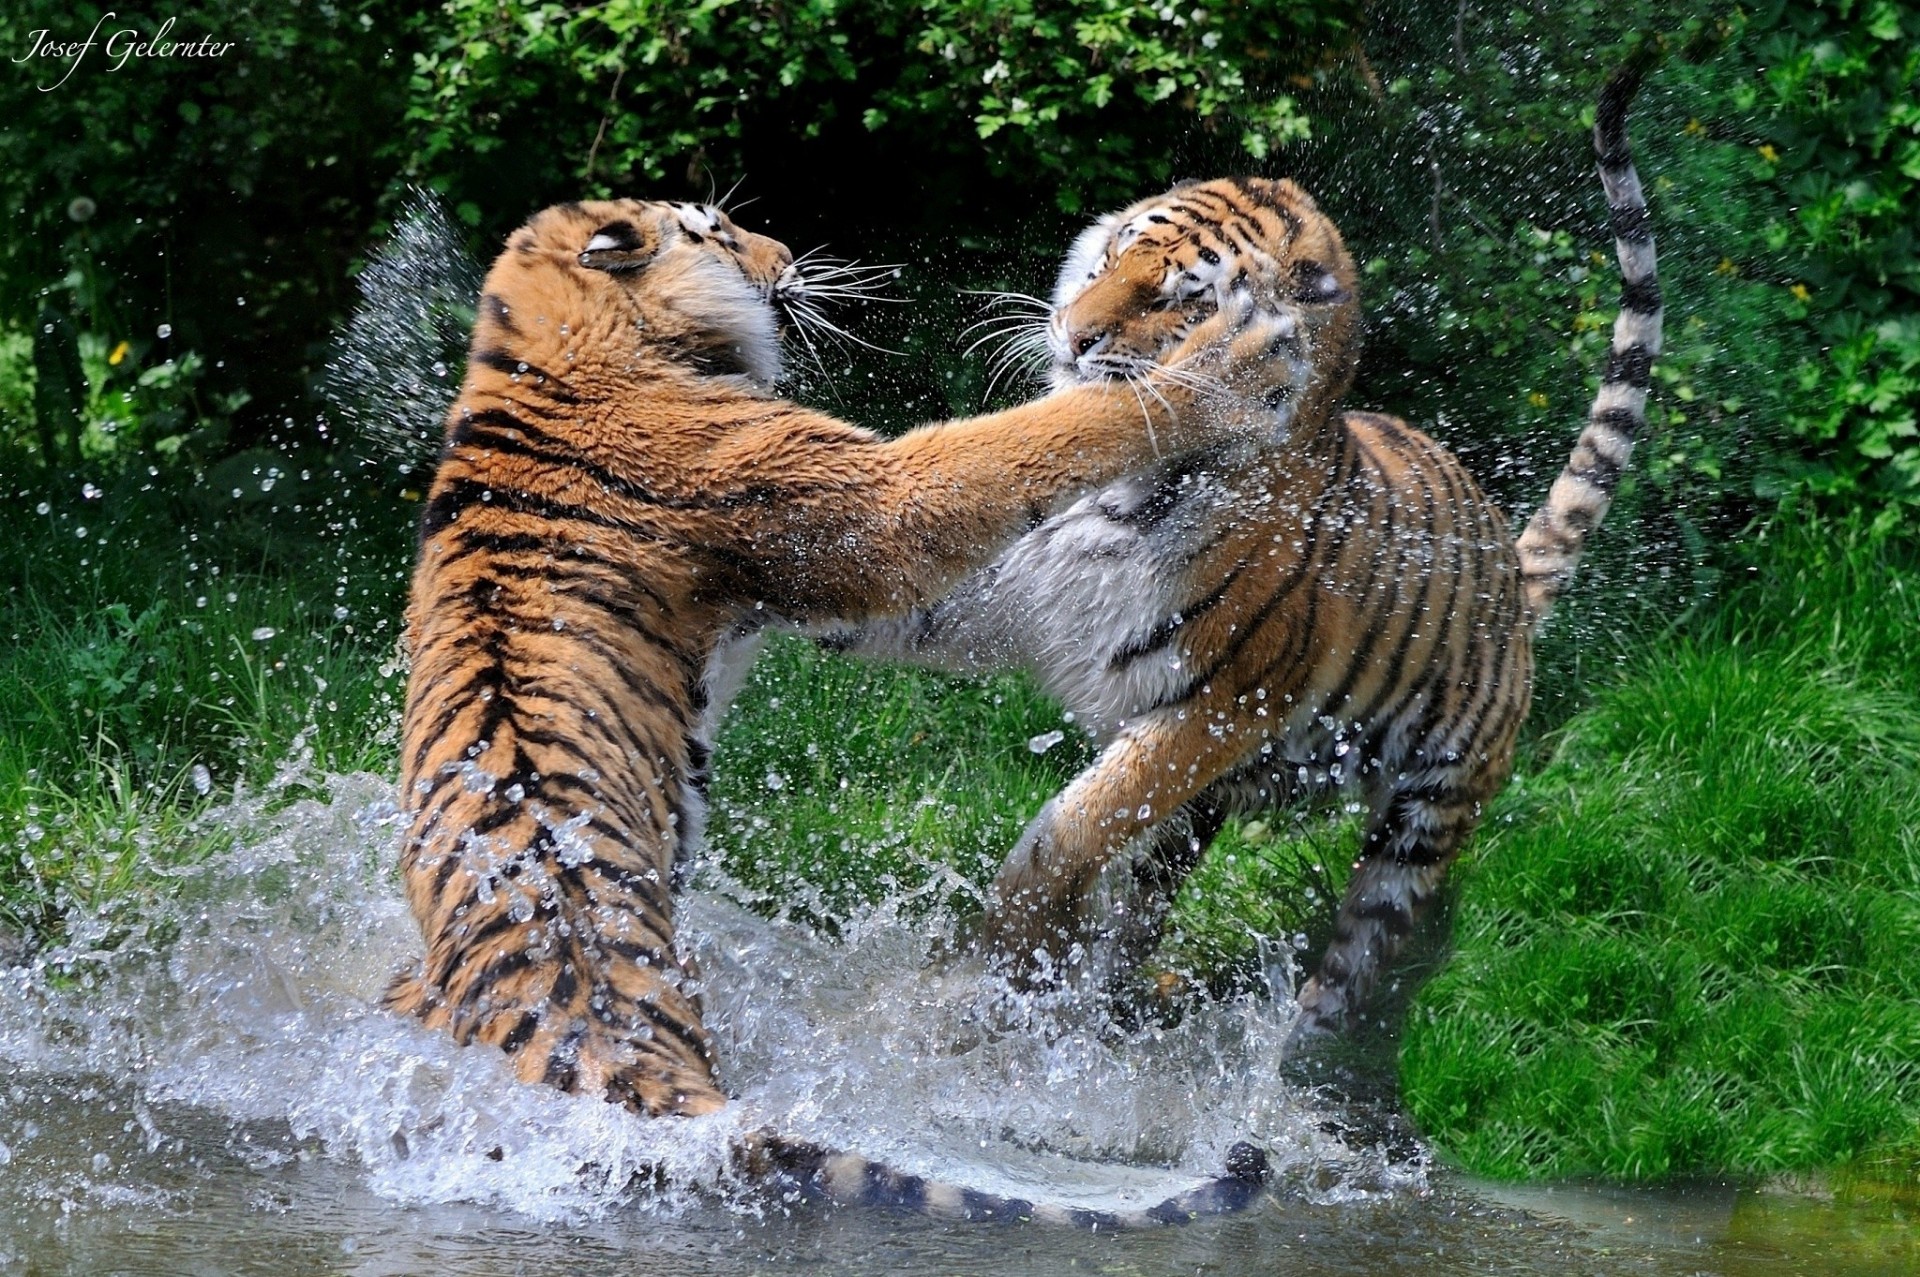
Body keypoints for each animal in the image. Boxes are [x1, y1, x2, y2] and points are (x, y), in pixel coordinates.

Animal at [382, 194, 1292, 1220]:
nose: (786, 253)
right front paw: (1231, 361)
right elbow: (1039, 434)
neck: (534, 346)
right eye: (717, 231)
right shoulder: (863, 502)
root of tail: (601, 1049)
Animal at [823, 60, 1662, 1037]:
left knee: (1357, 952)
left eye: (1181, 296)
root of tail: (1512, 584)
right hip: (1208, 817)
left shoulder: (1216, 708)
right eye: (1111, 258)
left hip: (1425, 814)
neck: (1124, 492)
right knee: (1147, 904)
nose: (1071, 333)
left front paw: (1005, 939)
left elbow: (1076, 822)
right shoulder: (999, 596)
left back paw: (1295, 1049)